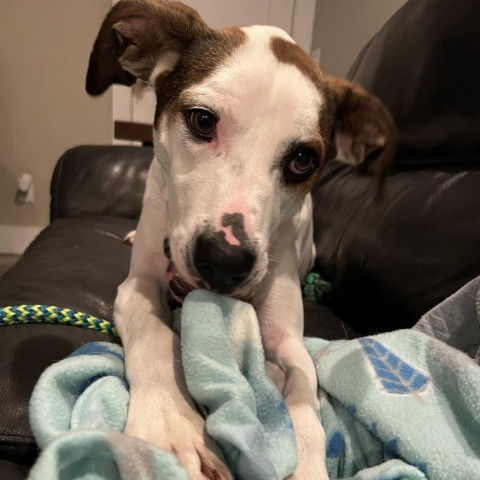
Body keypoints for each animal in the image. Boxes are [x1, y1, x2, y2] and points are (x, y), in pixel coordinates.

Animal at [86, 1, 394, 478]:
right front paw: (173, 426)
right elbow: (152, 332)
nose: (225, 261)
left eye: (303, 159)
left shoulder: (287, 335)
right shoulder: (138, 285)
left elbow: (302, 392)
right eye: (202, 120)